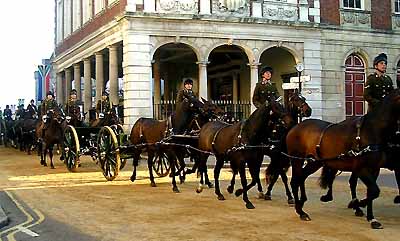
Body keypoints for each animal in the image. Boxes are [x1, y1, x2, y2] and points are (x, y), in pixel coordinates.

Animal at [286, 89, 400, 230]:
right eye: (296, 99)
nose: (307, 111)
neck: (372, 130)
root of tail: (297, 126)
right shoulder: (361, 169)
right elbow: (374, 191)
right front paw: (356, 204)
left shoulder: (374, 169)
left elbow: (372, 192)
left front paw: (371, 218)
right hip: (297, 159)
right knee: (295, 181)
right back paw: (300, 211)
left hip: (314, 162)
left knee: (301, 178)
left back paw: (302, 205)